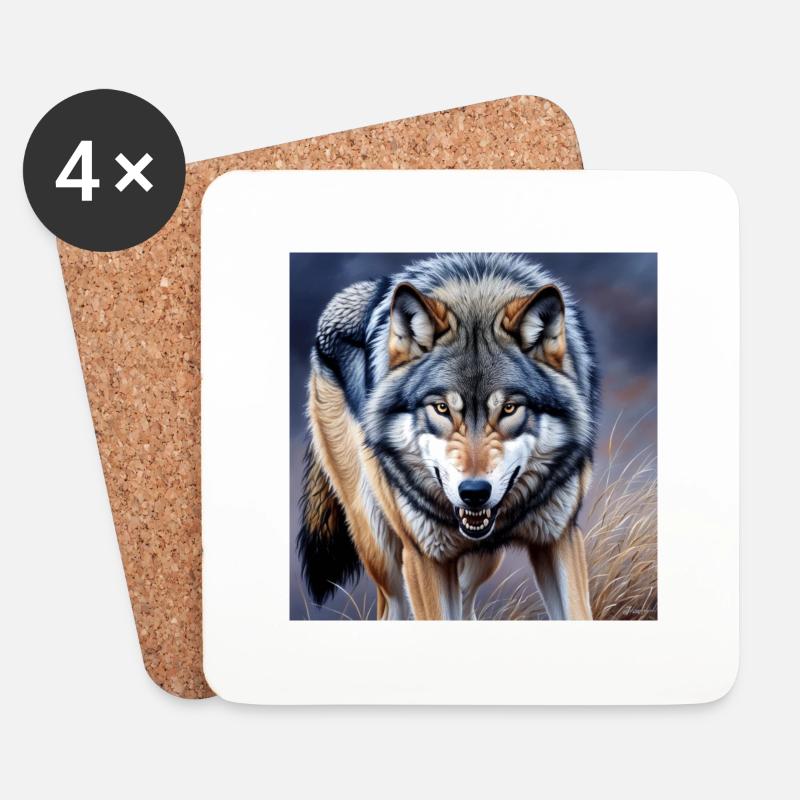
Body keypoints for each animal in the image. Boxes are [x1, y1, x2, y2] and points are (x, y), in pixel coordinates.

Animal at [298, 253, 599, 620]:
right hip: (382, 550)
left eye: (509, 408)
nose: (474, 493)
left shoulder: (559, 538)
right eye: (441, 408)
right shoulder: (425, 556)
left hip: (483, 559)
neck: (476, 298)